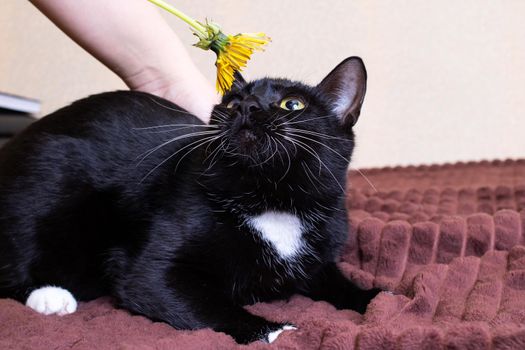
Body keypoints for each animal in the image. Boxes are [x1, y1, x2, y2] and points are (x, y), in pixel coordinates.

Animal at [0, 58, 378, 344]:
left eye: (293, 104)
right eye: (230, 102)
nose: (246, 106)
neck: (272, 201)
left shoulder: (317, 258)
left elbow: (339, 283)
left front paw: (375, 298)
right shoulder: (151, 271)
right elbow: (203, 302)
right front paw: (275, 331)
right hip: (51, 178)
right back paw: (50, 295)